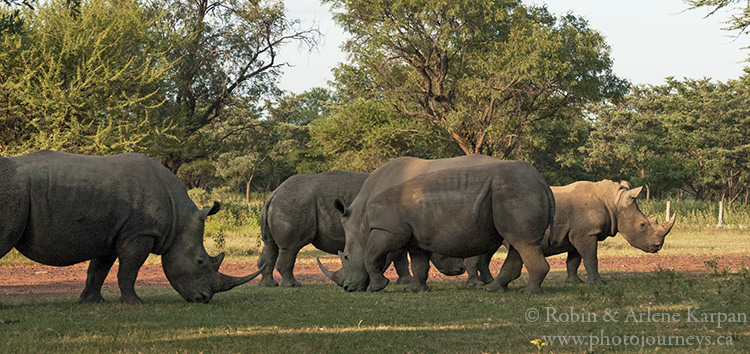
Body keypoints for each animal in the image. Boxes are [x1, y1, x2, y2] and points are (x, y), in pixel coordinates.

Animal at [0, 151, 264, 302]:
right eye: (200, 262)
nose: (204, 298)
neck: (179, 218)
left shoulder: (110, 234)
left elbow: (98, 269)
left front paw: (91, 302)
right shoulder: (141, 233)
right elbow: (129, 269)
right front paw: (135, 302)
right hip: (12, 190)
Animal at [320, 156, 556, 294]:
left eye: (346, 257)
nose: (347, 288)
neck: (360, 220)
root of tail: (542, 181)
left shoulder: (386, 230)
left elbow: (370, 255)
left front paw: (377, 287)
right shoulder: (414, 236)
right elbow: (419, 263)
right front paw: (416, 290)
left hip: (515, 189)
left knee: (522, 241)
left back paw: (528, 293)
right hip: (516, 189)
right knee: (519, 243)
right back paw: (495, 289)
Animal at [468, 180, 680, 284]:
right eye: (643, 225)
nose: (657, 246)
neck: (614, 202)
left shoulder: (578, 234)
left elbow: (574, 260)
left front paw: (574, 282)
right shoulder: (587, 233)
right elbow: (591, 258)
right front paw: (597, 283)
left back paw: (487, 282)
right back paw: (477, 284)